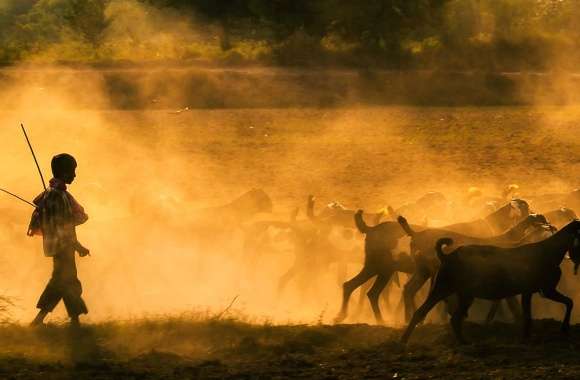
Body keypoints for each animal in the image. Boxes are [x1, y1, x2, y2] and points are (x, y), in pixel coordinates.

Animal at [402, 220, 580, 344]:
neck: (549, 251)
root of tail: (446, 256)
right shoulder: (547, 290)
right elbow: (568, 303)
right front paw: (564, 328)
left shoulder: (531, 291)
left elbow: (532, 313)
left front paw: (527, 337)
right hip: (443, 288)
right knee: (424, 311)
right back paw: (406, 339)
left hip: (463, 294)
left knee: (451, 316)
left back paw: (462, 341)